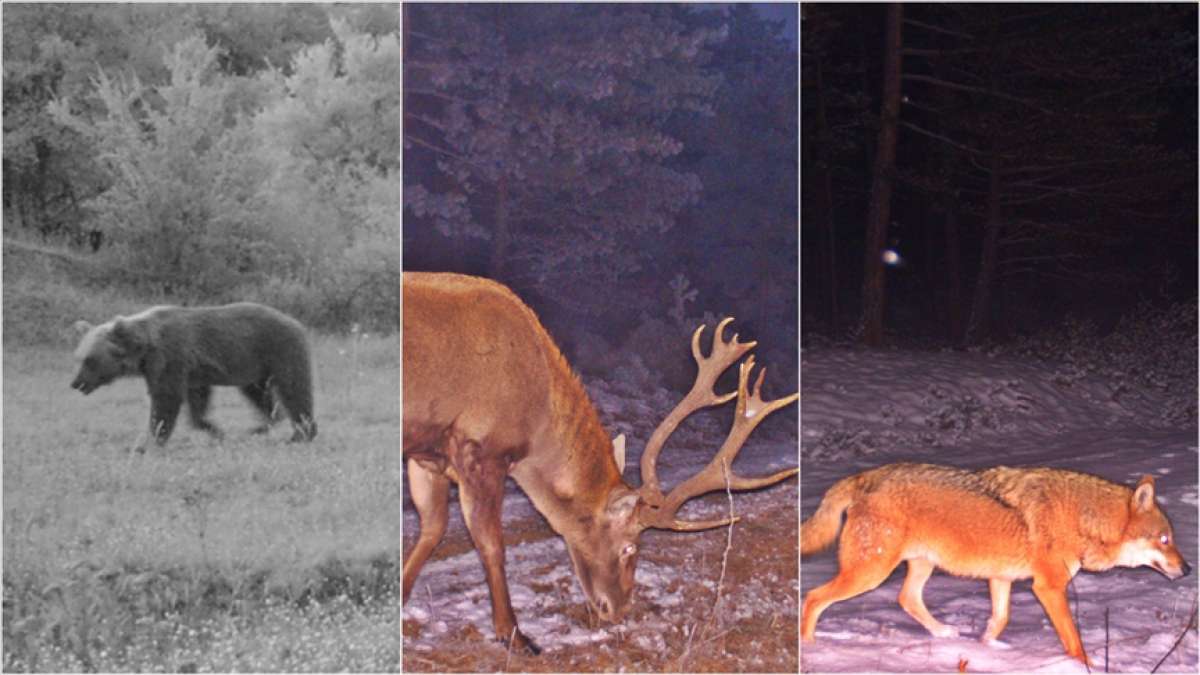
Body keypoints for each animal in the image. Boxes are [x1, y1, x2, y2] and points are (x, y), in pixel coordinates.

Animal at [68, 300, 316, 449]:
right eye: (78, 357)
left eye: (89, 359)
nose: (76, 383)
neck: (144, 349)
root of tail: (296, 322)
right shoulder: (193, 372)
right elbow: (197, 400)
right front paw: (213, 429)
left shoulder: (171, 358)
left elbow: (166, 399)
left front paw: (150, 441)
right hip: (254, 368)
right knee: (260, 395)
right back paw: (261, 426)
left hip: (279, 350)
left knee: (295, 389)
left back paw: (301, 434)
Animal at [796, 461, 1190, 662]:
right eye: (1165, 540)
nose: (1188, 569)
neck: (1083, 517)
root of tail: (864, 477)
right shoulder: (1048, 588)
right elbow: (1074, 643)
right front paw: (1085, 666)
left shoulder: (1002, 579)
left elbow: (1001, 618)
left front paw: (987, 648)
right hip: (870, 573)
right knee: (813, 598)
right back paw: (811, 649)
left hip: (919, 566)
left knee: (906, 599)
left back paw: (945, 634)